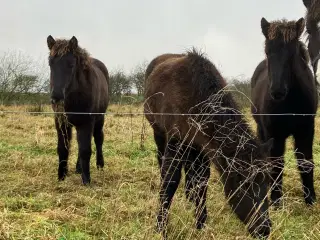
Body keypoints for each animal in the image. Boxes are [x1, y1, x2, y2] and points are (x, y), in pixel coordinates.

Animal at [45, 35, 109, 186]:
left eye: (71, 65)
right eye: (50, 63)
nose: (56, 97)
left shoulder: (86, 122)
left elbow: (85, 149)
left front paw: (87, 181)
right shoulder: (61, 122)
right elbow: (63, 149)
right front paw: (61, 176)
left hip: (99, 118)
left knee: (98, 138)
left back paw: (100, 165)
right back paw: (78, 168)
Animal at [144, 48, 272, 238]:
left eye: (267, 183)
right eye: (243, 185)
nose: (264, 229)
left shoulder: (203, 146)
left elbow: (201, 182)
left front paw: (200, 223)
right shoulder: (175, 141)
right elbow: (170, 182)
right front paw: (161, 227)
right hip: (159, 133)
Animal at [251, 17, 318, 208]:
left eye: (292, 53)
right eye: (267, 52)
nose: (277, 92)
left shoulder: (306, 130)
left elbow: (305, 162)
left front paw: (310, 200)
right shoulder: (274, 134)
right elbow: (276, 165)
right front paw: (276, 201)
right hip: (261, 130)